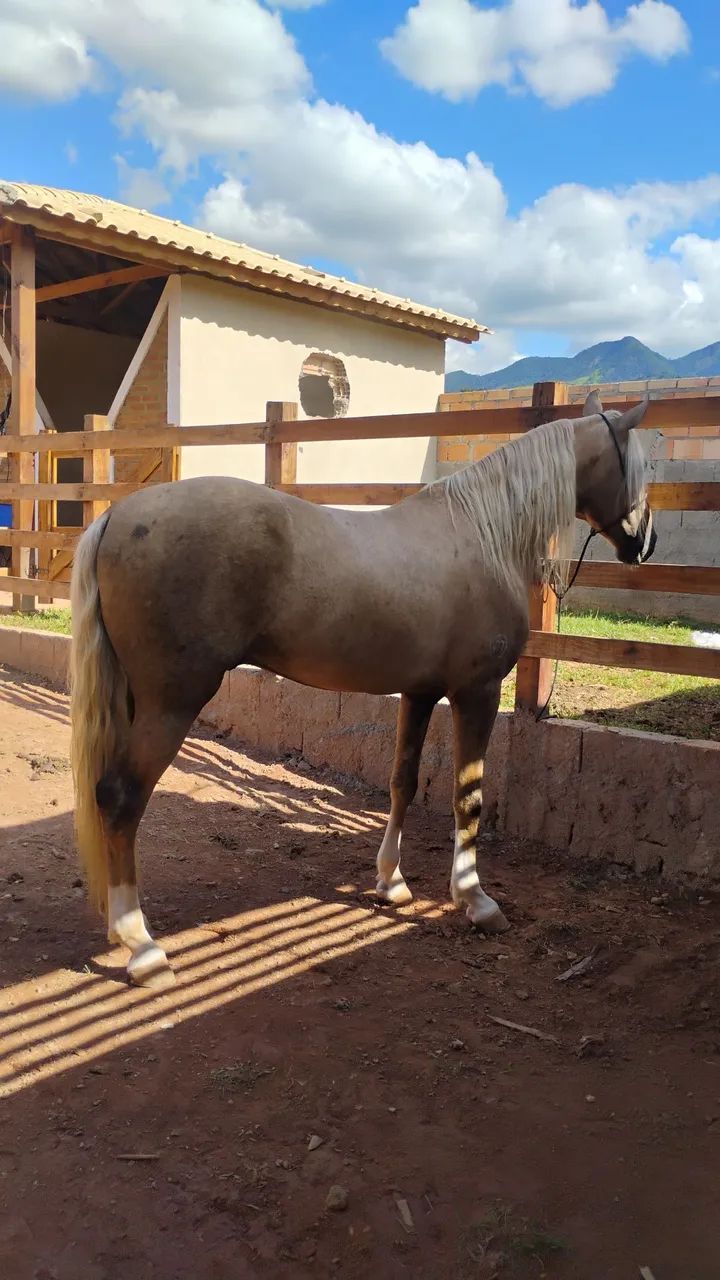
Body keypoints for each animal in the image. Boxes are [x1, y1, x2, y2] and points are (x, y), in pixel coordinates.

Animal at [69, 389, 656, 988]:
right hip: (171, 702)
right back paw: (142, 946)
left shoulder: (420, 694)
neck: (483, 533)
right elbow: (467, 797)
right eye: (642, 465)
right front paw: (475, 900)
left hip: (136, 701)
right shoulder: (477, 692)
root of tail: (117, 515)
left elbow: (403, 784)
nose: (645, 543)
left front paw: (391, 882)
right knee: (121, 798)